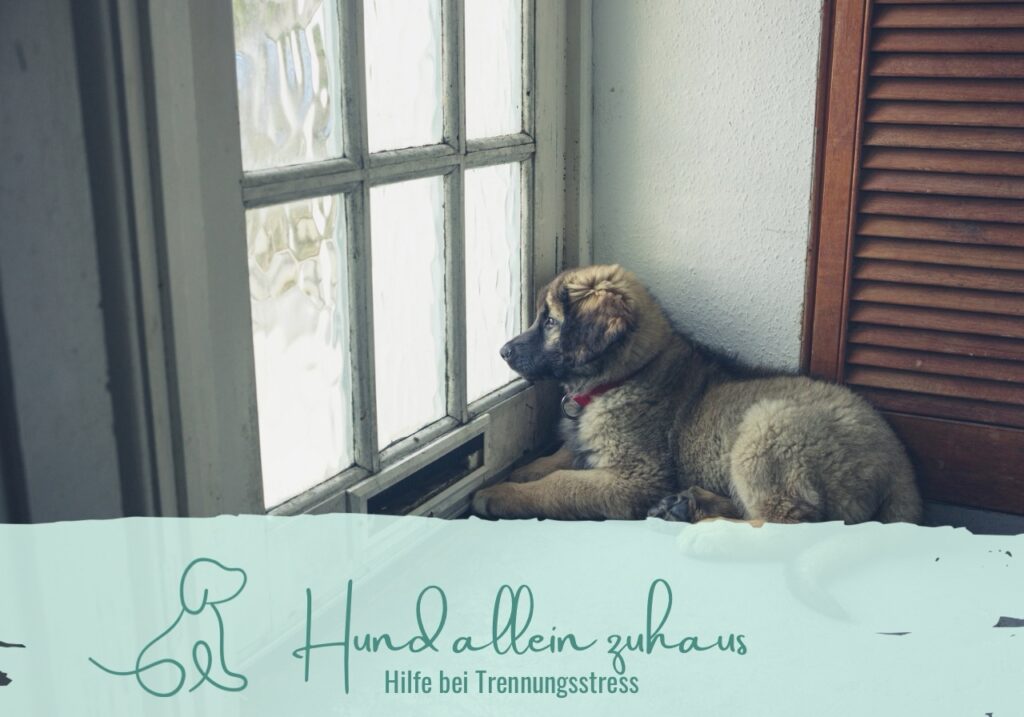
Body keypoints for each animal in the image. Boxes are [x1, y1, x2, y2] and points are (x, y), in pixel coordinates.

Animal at [471, 264, 922, 524]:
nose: (503, 352)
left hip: (766, 434)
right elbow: (559, 459)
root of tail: (900, 466)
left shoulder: (636, 475)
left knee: (783, 523)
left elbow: (563, 483)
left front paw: (499, 494)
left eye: (549, 321)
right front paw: (523, 471)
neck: (626, 375)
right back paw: (687, 505)